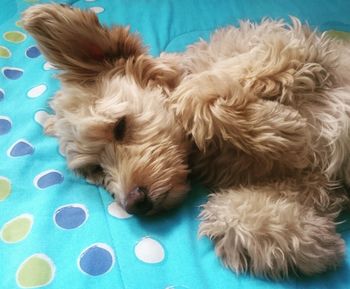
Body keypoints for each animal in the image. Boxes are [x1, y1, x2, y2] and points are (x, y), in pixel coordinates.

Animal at [22, 3, 350, 280]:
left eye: (119, 127)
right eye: (95, 170)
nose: (134, 204)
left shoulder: (291, 45)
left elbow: (194, 94)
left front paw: (283, 128)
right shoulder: (308, 178)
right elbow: (229, 214)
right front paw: (312, 242)